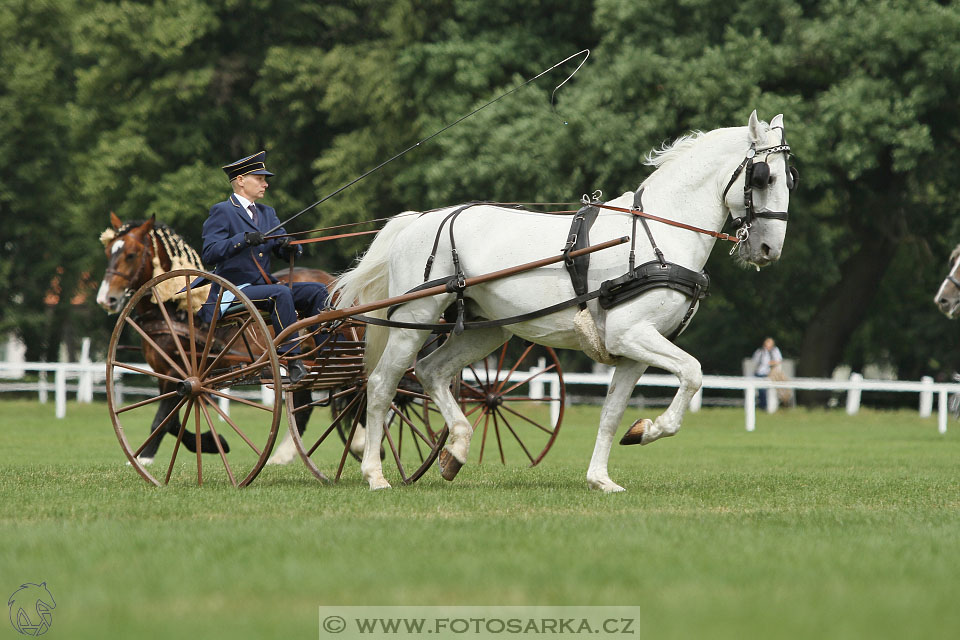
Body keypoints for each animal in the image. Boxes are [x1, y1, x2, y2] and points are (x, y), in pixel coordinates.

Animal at [95, 215, 332, 464]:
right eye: (109, 251)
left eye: (131, 254)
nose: (106, 298)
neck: (176, 310)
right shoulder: (163, 373)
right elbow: (173, 420)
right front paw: (213, 442)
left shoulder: (176, 370)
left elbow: (164, 419)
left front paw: (145, 458)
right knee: (306, 402)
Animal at [338, 111, 796, 490]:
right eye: (764, 178)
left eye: (789, 179)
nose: (769, 249)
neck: (659, 234)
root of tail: (418, 219)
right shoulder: (632, 334)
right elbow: (694, 372)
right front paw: (650, 428)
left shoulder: (633, 350)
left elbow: (611, 413)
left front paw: (602, 476)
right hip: (413, 319)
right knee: (381, 386)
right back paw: (375, 474)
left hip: (486, 332)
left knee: (431, 372)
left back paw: (456, 451)